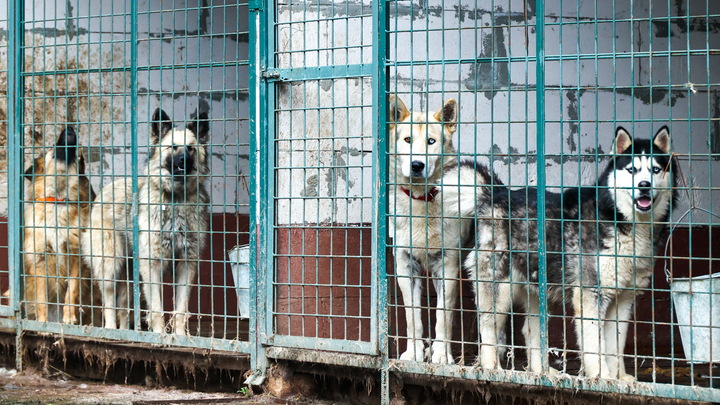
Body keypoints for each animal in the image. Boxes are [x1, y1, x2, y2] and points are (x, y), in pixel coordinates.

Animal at [21, 126, 97, 322]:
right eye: (54, 147)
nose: (69, 127)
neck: (59, 201)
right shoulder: (40, 258)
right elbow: (41, 298)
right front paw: (42, 322)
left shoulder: (76, 256)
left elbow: (72, 290)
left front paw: (69, 317)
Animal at [83, 109, 211, 332]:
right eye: (172, 147)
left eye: (191, 148)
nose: (184, 161)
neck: (175, 198)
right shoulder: (151, 266)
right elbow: (157, 310)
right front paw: (159, 334)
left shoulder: (186, 265)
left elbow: (180, 310)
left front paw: (180, 336)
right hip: (110, 265)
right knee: (109, 301)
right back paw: (110, 329)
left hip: (130, 274)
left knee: (124, 307)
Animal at [388, 94, 472, 362]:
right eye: (407, 140)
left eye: (431, 142)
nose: (417, 165)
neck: (421, 198)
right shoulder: (405, 265)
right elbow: (413, 317)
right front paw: (413, 353)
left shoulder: (448, 266)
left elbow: (442, 316)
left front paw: (442, 356)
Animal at [452, 125, 676, 378]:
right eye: (632, 170)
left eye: (655, 170)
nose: (644, 185)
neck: (619, 219)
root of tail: (497, 194)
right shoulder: (590, 295)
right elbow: (595, 346)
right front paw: (601, 377)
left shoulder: (624, 300)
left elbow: (615, 347)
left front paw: (619, 378)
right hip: (499, 288)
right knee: (488, 327)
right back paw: (492, 369)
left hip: (538, 290)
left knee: (530, 330)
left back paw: (542, 372)